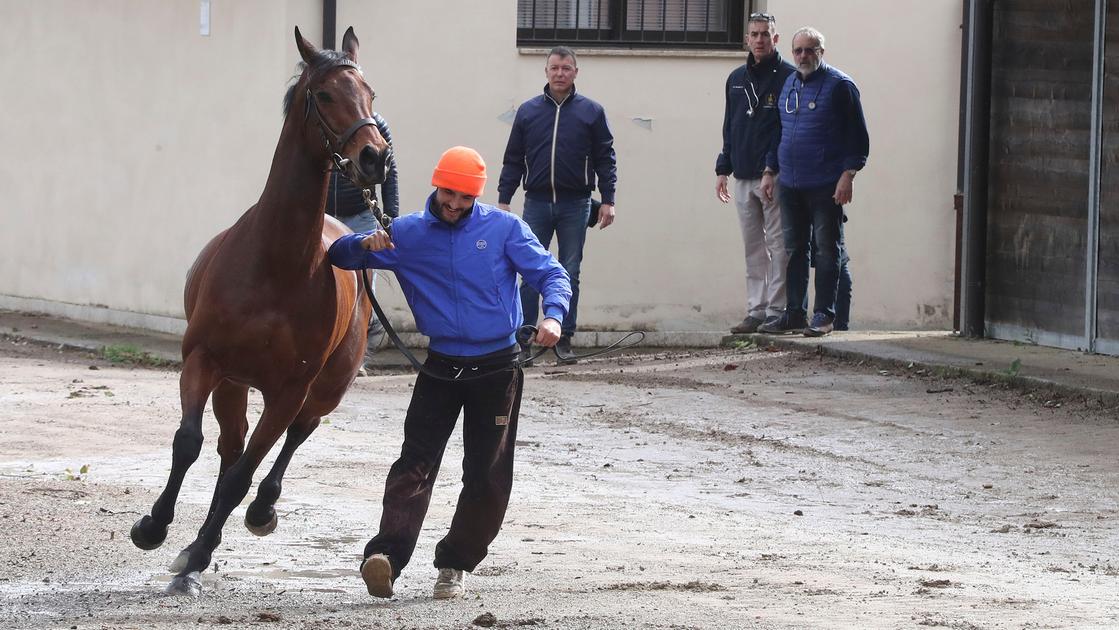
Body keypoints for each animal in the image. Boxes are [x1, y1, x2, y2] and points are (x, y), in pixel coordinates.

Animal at [127, 25, 387, 595]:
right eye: (325, 94)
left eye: (371, 94)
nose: (374, 157)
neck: (275, 264)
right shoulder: (204, 361)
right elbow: (188, 443)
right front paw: (153, 528)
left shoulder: (290, 390)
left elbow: (245, 473)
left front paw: (198, 552)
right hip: (233, 383)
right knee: (230, 447)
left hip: (324, 389)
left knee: (288, 440)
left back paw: (256, 513)